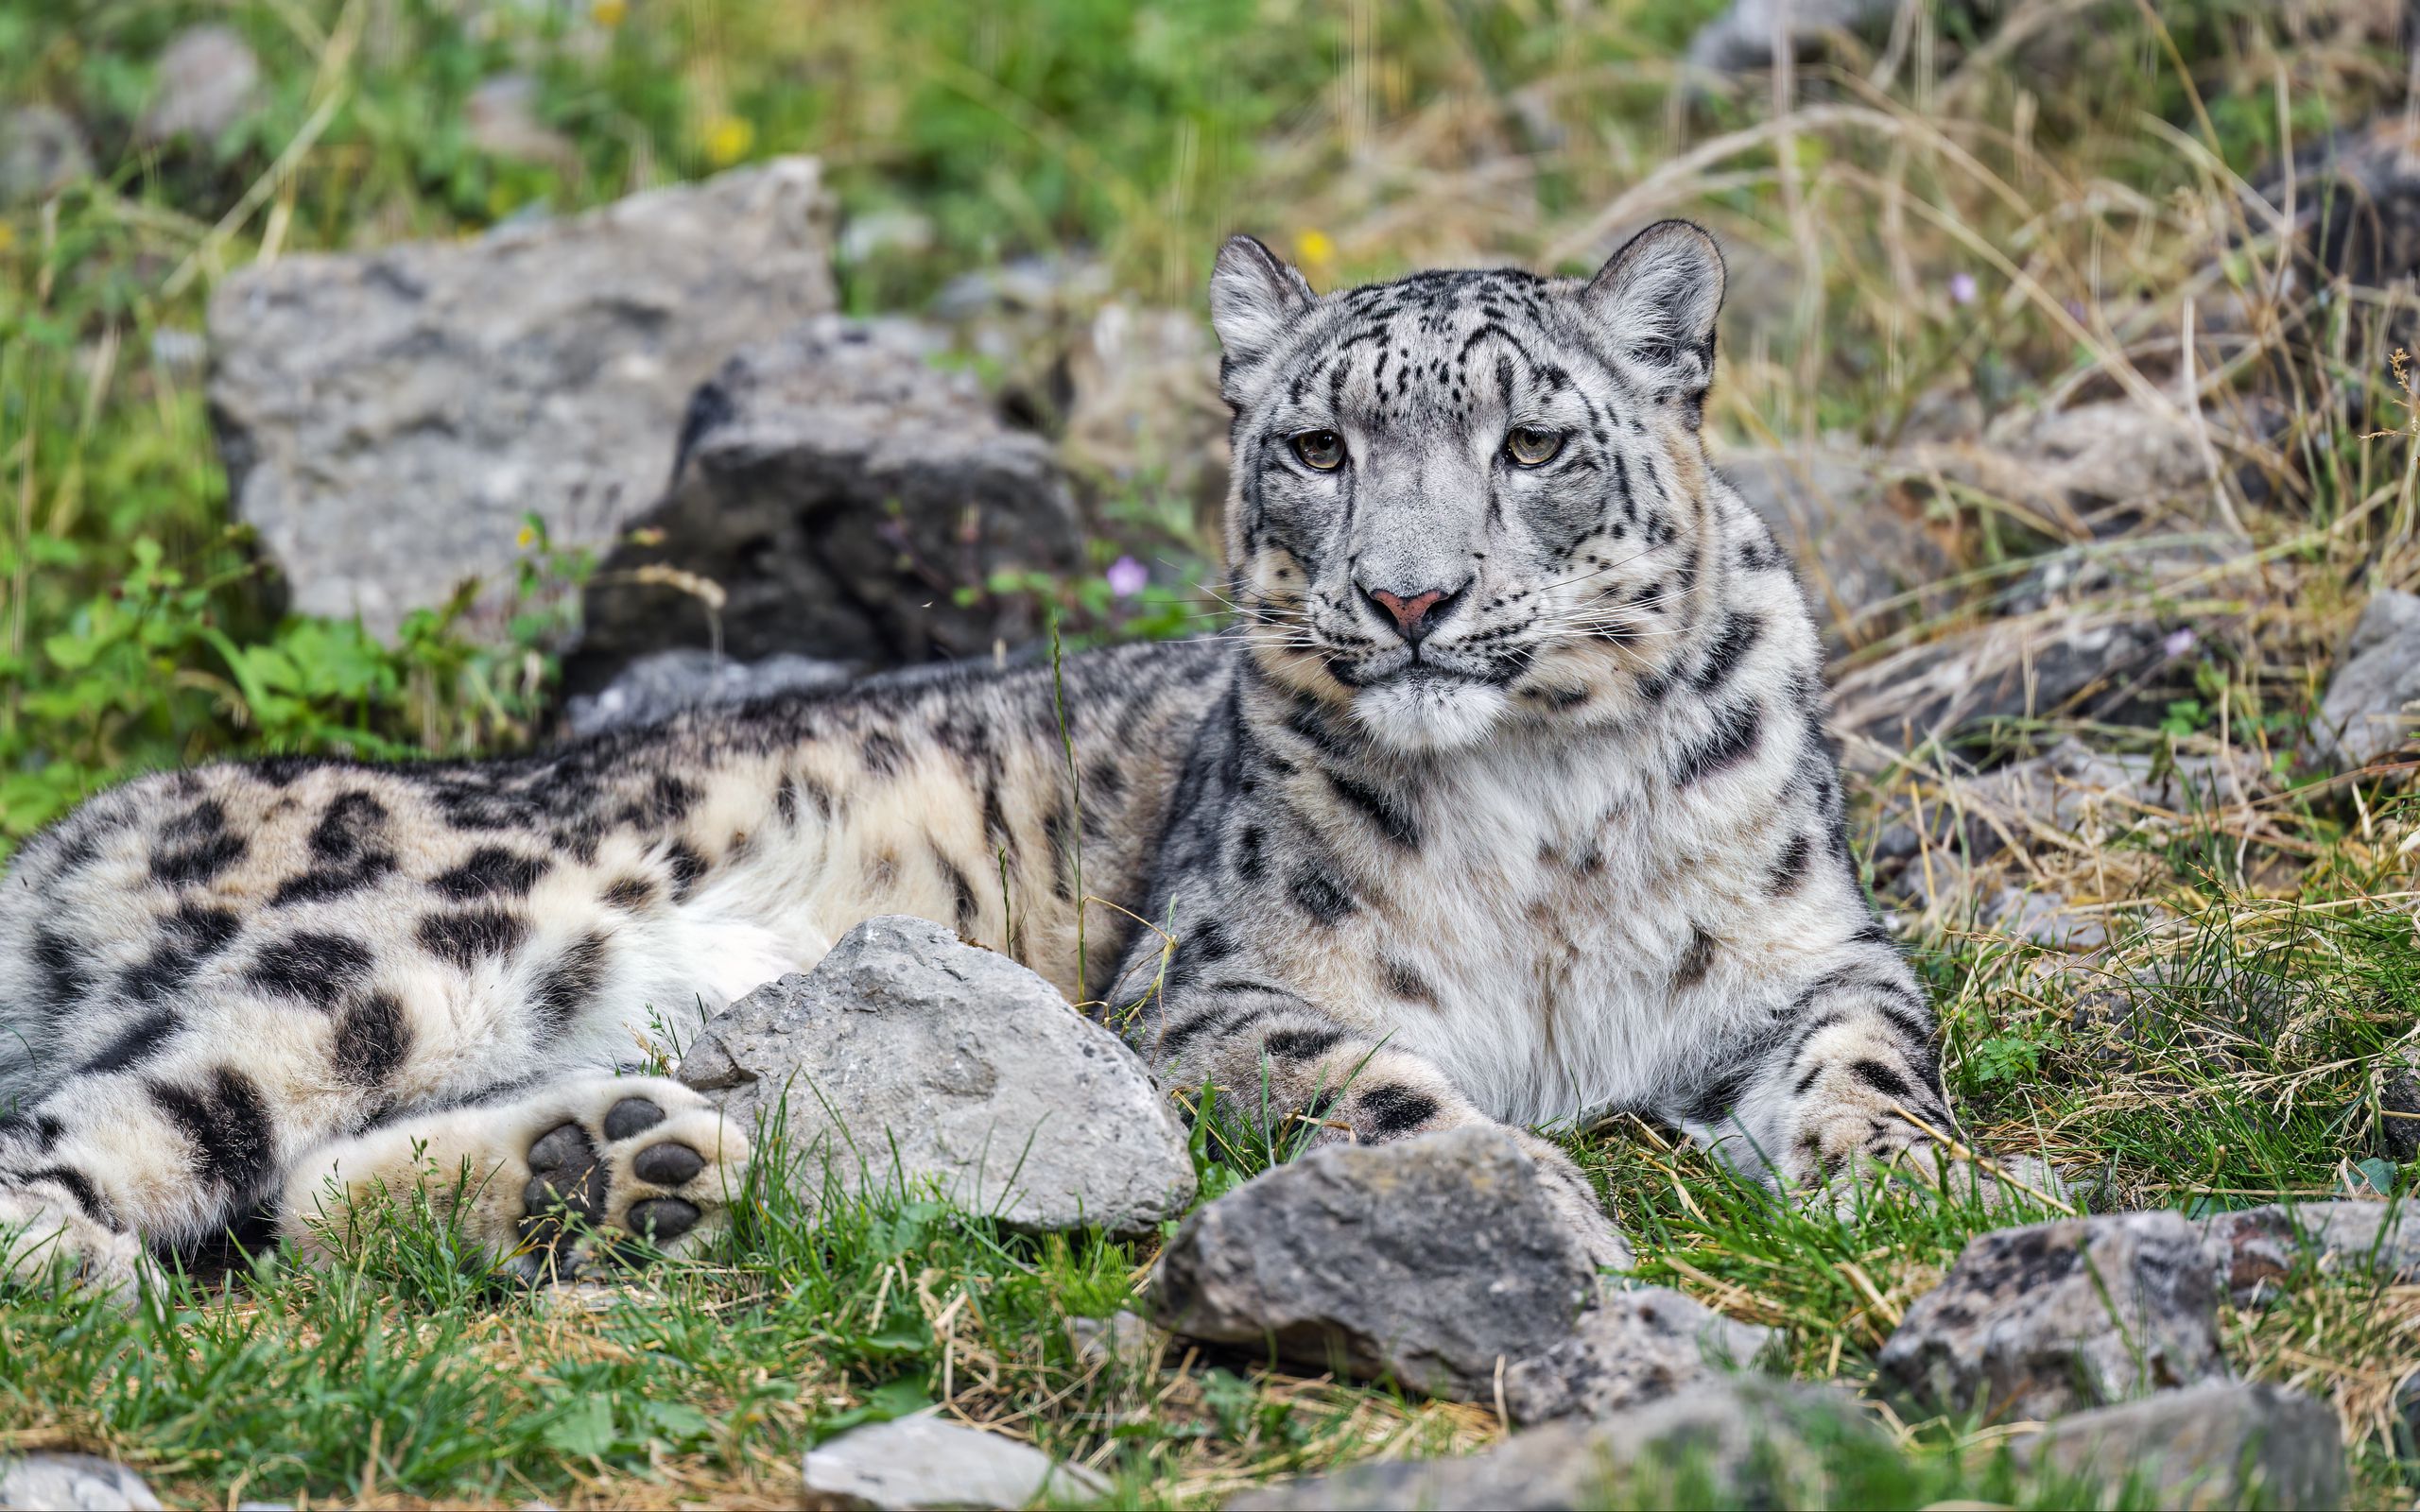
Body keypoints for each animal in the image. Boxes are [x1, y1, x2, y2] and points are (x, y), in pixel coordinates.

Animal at [0, 223, 1964, 1286]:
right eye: (1317, 446)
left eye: (1536, 441)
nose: (1410, 597)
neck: (1544, 828)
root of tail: (93, 825)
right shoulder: (1213, 994)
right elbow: (1381, 1088)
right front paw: (1519, 1196)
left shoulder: (1810, 948)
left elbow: (1873, 1049)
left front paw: (1924, 1181)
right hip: (416, 941)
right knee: (116, 1122)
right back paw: (84, 1267)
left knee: (297, 1196)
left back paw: (609, 1170)